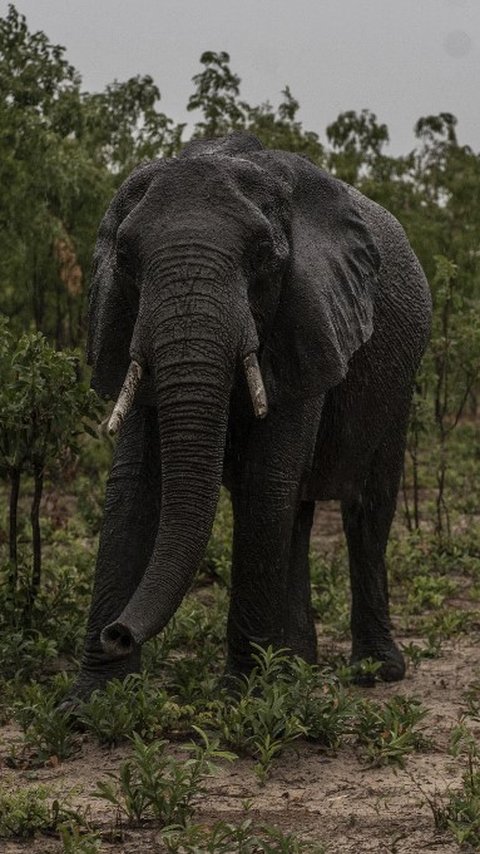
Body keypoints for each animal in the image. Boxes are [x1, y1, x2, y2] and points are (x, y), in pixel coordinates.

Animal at [67, 130, 432, 704]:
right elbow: (133, 484)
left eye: (262, 256)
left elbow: (266, 478)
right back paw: (296, 665)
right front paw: (87, 704)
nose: (118, 633)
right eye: (125, 257)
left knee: (366, 506)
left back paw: (373, 671)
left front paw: (240, 698)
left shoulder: (307, 317)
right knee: (298, 510)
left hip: (401, 378)